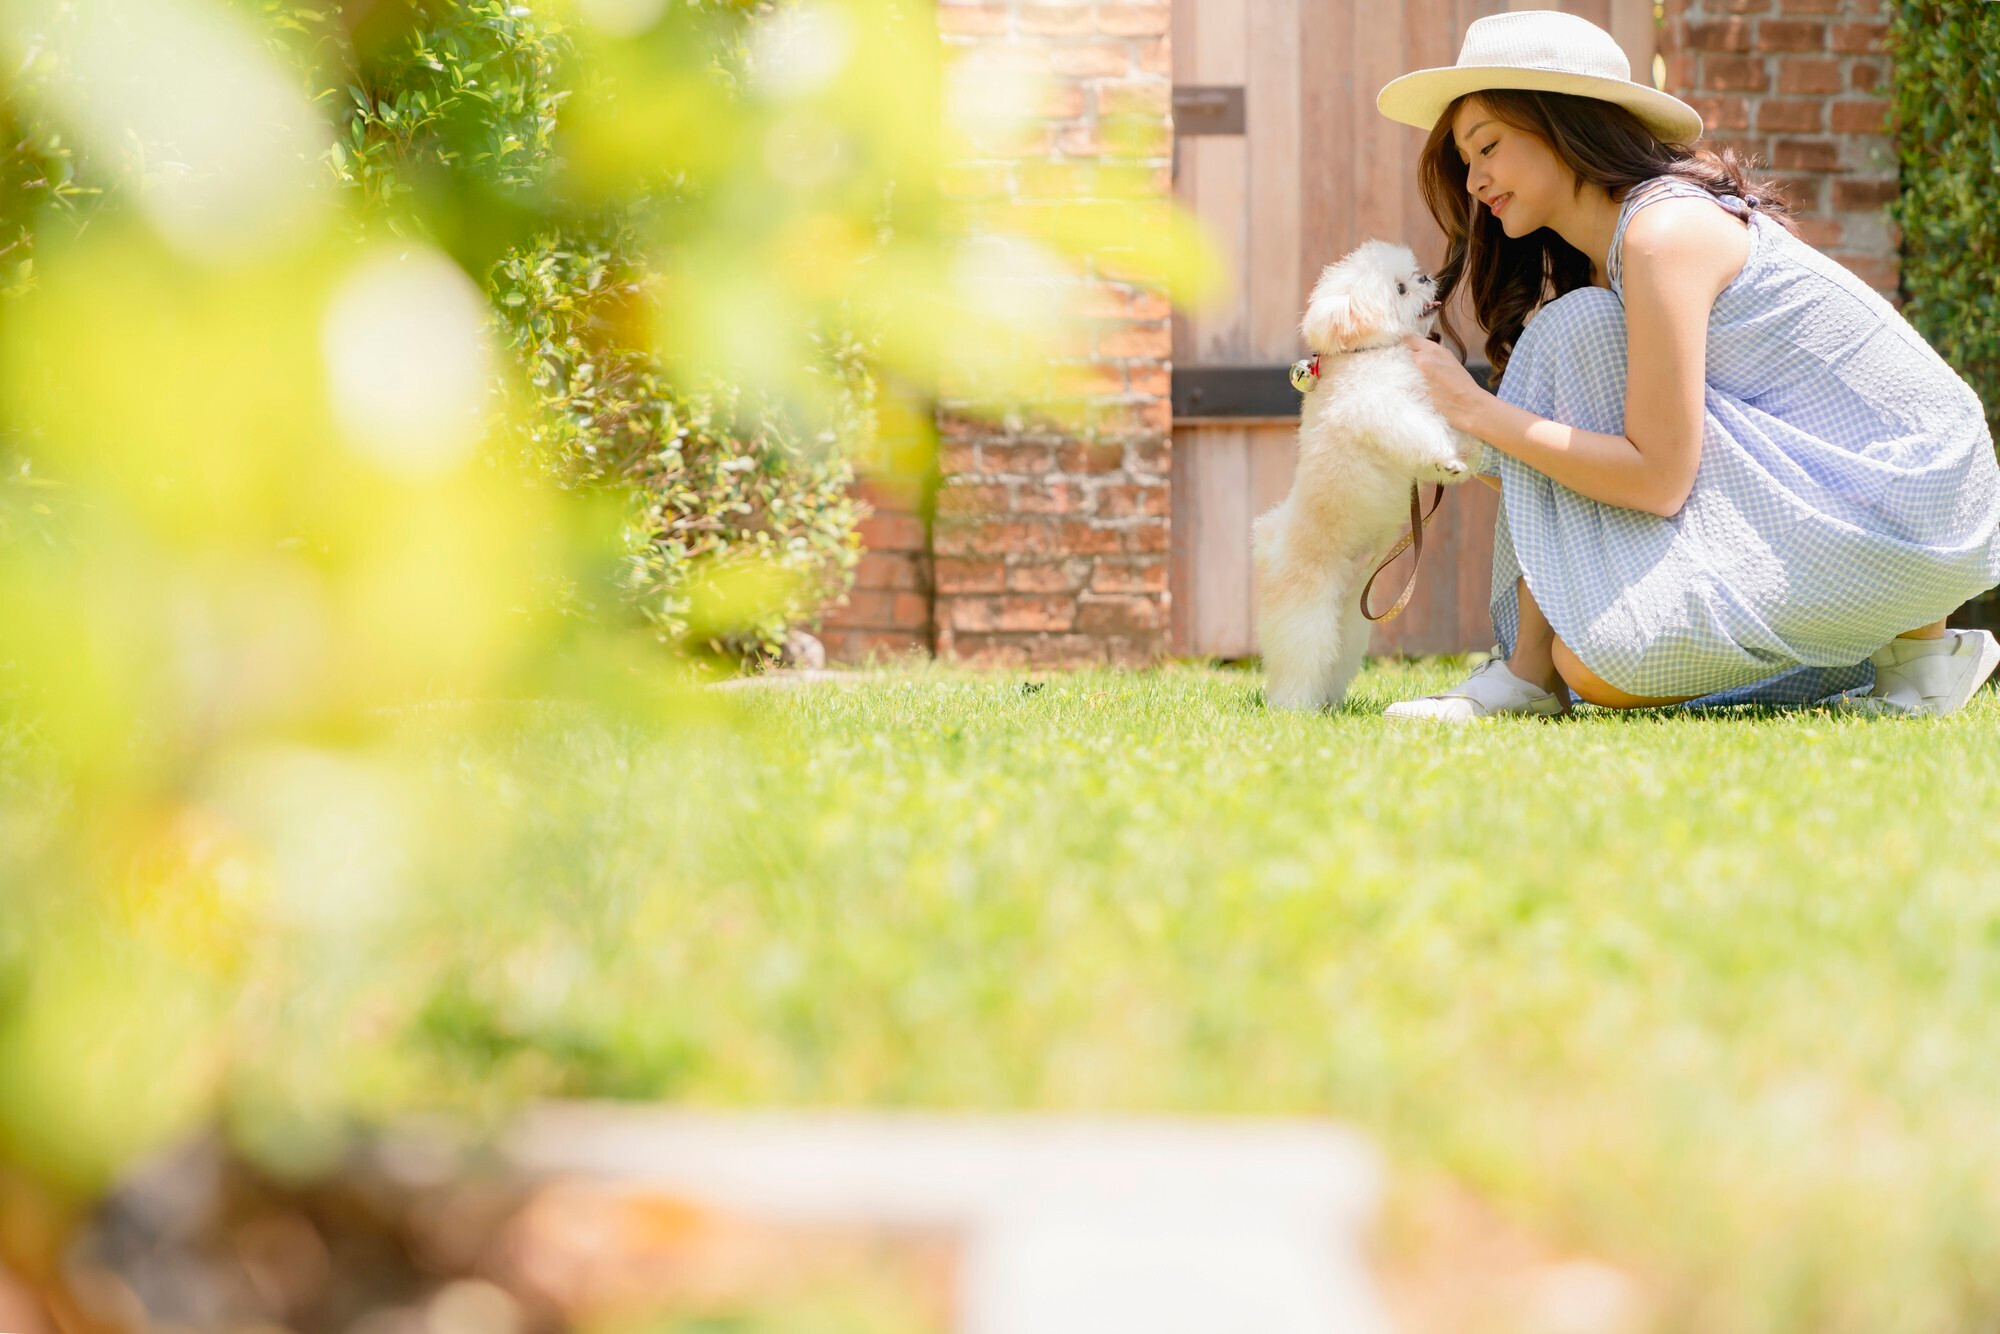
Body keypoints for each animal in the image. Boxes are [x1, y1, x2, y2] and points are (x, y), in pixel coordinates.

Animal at [1248, 244, 1488, 716]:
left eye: (1414, 275)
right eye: (1400, 288)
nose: (1428, 278)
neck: (1368, 353)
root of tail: (1273, 547)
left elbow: (1449, 427)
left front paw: (1471, 452)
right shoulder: (1383, 410)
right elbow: (1421, 430)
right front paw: (1449, 457)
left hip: (1350, 622)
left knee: (1335, 660)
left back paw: (1329, 701)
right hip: (1307, 613)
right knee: (1298, 662)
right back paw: (1295, 707)